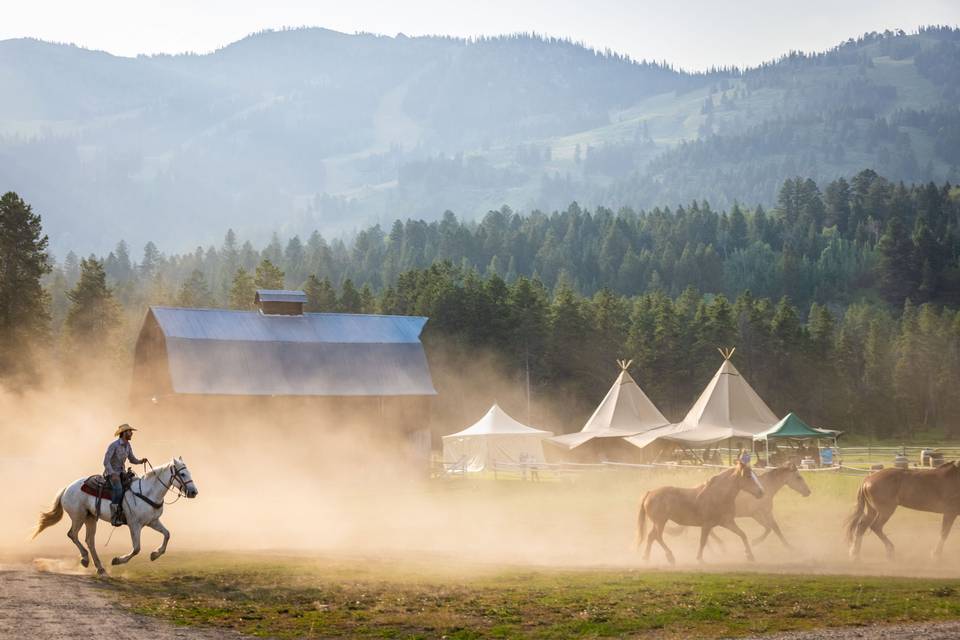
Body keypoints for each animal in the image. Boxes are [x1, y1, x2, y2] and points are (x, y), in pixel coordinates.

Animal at [32, 456, 198, 576]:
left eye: (189, 472)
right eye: (182, 473)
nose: (194, 492)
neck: (147, 492)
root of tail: (67, 488)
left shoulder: (153, 521)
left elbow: (167, 534)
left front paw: (155, 554)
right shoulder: (134, 524)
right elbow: (136, 548)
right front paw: (118, 560)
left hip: (90, 518)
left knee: (89, 541)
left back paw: (100, 568)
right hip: (78, 516)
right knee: (72, 534)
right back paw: (85, 559)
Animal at [636, 462, 764, 564]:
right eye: (748, 476)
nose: (761, 492)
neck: (718, 496)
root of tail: (649, 493)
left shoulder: (727, 522)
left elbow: (742, 534)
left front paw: (750, 556)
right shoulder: (707, 525)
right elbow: (703, 541)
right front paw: (700, 559)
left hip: (658, 522)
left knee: (651, 536)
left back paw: (646, 557)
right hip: (660, 522)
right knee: (657, 537)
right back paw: (670, 557)